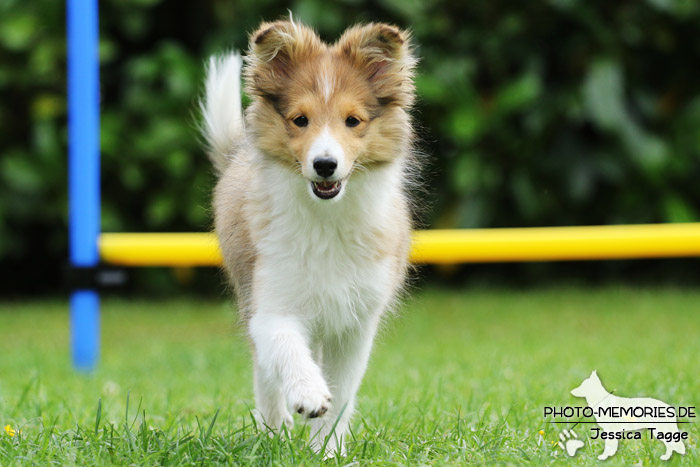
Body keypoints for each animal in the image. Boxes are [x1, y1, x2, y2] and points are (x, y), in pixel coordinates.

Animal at [200, 19, 418, 458]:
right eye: (300, 120)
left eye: (353, 121)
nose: (325, 165)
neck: (327, 219)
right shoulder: (269, 303)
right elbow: (286, 347)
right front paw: (309, 394)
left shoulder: (354, 324)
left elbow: (343, 393)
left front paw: (328, 451)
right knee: (265, 375)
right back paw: (274, 431)